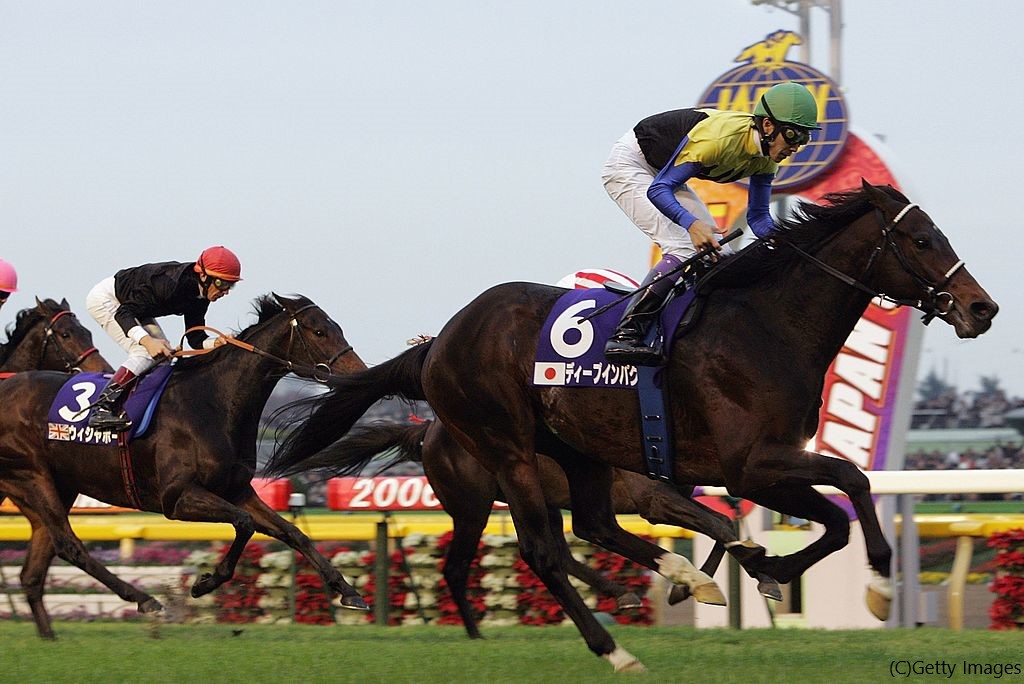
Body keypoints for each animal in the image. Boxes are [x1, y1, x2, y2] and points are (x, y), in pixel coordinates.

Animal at [0, 294, 369, 639]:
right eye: (320, 331)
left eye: (336, 327)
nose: (360, 375)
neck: (212, 402)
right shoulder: (177, 498)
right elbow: (244, 523)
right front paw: (205, 583)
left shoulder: (237, 491)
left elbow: (294, 533)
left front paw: (349, 592)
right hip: (33, 476)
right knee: (69, 545)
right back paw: (144, 598)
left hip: (51, 488)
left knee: (35, 568)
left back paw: (50, 636)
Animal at [280, 418, 779, 639]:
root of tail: (426, 431)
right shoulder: (652, 499)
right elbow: (718, 521)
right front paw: (688, 587)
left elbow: (721, 523)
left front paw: (687, 586)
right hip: (476, 505)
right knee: (465, 565)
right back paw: (477, 633)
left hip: (531, 498)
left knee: (552, 552)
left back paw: (620, 592)